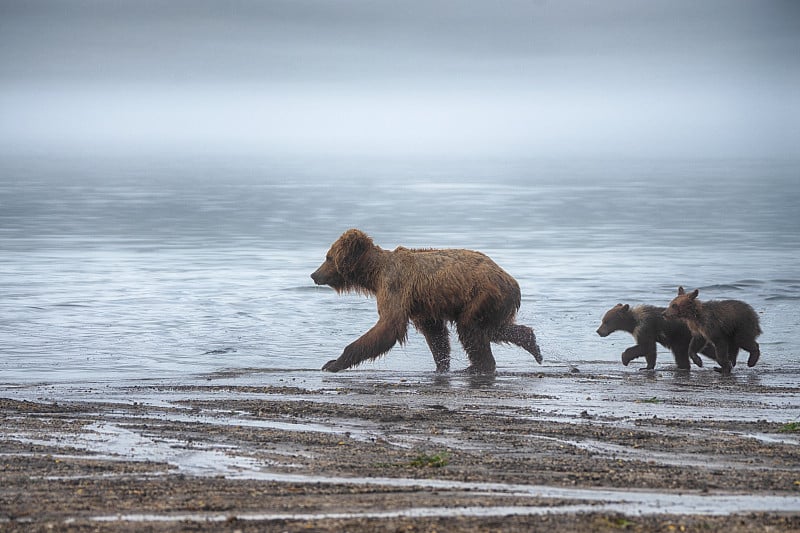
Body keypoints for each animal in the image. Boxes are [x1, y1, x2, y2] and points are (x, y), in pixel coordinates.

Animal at [310, 229, 540, 374]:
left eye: (328, 257)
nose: (314, 275)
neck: (373, 275)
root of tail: (512, 280)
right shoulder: (422, 306)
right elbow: (435, 334)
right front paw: (441, 365)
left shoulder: (394, 286)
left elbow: (389, 326)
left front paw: (332, 363)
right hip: (493, 303)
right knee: (493, 329)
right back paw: (532, 344)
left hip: (483, 295)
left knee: (470, 329)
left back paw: (477, 366)